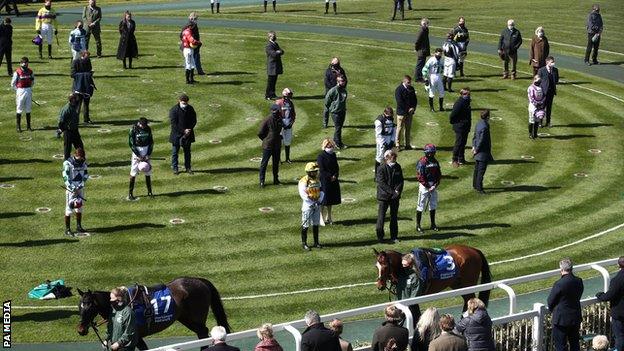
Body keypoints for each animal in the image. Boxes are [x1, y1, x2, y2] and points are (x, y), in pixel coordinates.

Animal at [77, 278, 230, 351]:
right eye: (80, 306)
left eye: (90, 306)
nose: (80, 330)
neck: (121, 304)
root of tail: (201, 281)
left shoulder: (136, 337)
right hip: (185, 318)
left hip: (196, 318)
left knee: (203, 333)